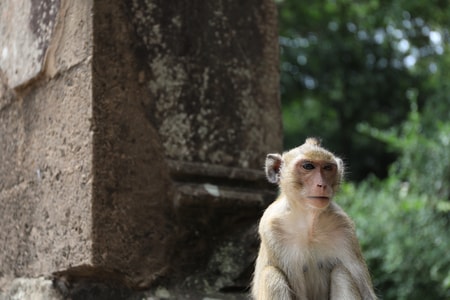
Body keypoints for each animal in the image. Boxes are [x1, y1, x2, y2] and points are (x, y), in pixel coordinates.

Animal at [253, 138, 376, 300]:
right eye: (308, 166)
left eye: (328, 168)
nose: (322, 185)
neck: (309, 222)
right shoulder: (272, 229)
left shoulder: (344, 228)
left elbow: (366, 291)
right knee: (271, 275)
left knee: (341, 273)